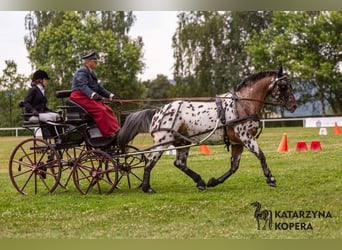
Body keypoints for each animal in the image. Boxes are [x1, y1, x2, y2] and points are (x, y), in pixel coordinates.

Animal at [117, 67, 296, 193]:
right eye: (283, 86)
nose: (294, 105)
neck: (242, 104)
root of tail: (158, 111)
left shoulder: (237, 142)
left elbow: (234, 167)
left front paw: (213, 181)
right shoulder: (246, 137)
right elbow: (261, 156)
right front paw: (271, 179)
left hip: (181, 142)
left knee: (179, 163)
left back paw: (200, 182)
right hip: (162, 142)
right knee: (150, 161)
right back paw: (147, 187)